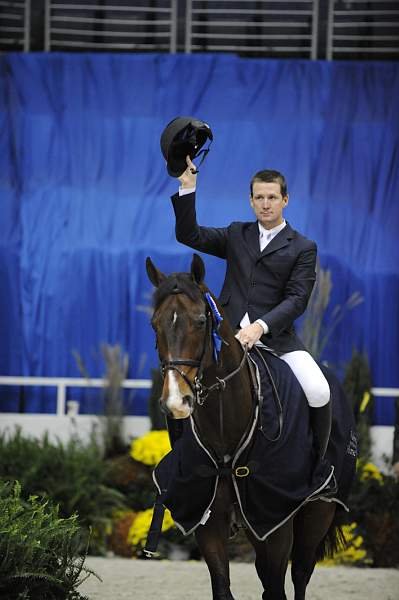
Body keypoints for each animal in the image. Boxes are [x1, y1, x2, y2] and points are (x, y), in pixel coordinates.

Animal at [146, 254, 346, 600]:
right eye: (154, 324)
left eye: (201, 322)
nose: (175, 401)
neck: (226, 426)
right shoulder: (210, 524)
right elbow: (223, 587)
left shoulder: (276, 524)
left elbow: (279, 588)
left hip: (317, 514)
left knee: (301, 574)